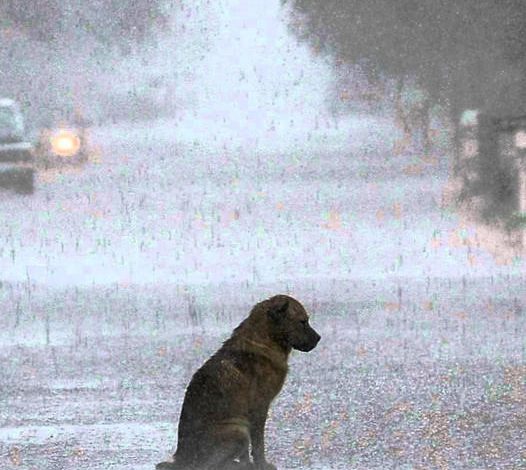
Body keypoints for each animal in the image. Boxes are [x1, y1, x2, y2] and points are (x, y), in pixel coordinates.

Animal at [157, 294, 322, 470]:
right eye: (303, 322)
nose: (319, 338)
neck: (264, 340)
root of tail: (182, 459)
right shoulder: (259, 408)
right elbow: (258, 444)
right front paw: (261, 464)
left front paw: (249, 463)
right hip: (238, 431)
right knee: (211, 465)